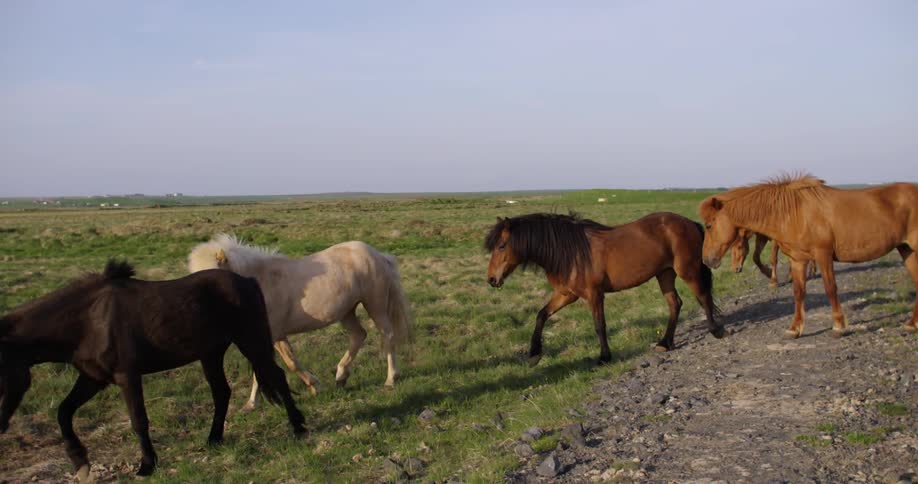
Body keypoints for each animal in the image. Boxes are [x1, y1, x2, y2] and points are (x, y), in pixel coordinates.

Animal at [0, 260, 306, 480]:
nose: (0, 426)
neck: (88, 320)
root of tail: (247, 281)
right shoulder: (93, 378)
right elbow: (64, 412)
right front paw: (80, 461)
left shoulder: (127, 376)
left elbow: (138, 420)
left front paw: (147, 465)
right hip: (211, 354)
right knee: (222, 392)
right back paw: (214, 439)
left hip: (251, 340)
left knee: (276, 376)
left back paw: (298, 428)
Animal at [189, 234, 412, 408]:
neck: (259, 286)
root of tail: (379, 255)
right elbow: (274, 364)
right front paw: (251, 404)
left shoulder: (273, 334)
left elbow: (286, 363)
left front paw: (315, 386)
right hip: (347, 311)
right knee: (359, 336)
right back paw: (341, 377)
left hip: (375, 305)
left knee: (387, 335)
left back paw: (391, 379)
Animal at [485, 212, 725, 365]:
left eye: (502, 246)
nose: (491, 279)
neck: (571, 252)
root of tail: (689, 223)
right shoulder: (566, 294)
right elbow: (541, 315)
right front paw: (534, 354)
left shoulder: (594, 295)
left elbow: (599, 325)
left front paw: (604, 357)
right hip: (664, 274)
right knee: (675, 304)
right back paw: (665, 343)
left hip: (687, 270)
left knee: (703, 296)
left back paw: (716, 331)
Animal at [700, 174, 918, 338]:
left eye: (709, 226)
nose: (706, 259)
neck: (793, 212)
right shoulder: (798, 260)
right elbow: (798, 292)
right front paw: (794, 329)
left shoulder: (823, 255)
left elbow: (830, 288)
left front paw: (838, 326)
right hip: (906, 250)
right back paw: (911, 324)